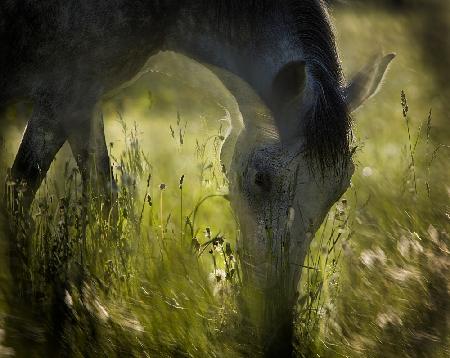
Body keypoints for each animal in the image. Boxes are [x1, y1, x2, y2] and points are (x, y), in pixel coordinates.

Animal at [0, 1, 392, 356]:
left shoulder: (83, 101)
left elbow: (102, 203)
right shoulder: (64, 95)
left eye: (340, 187)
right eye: (261, 179)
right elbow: (23, 195)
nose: (275, 330)